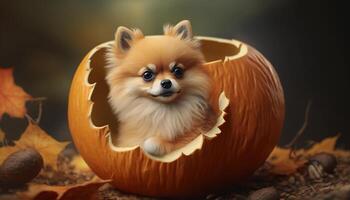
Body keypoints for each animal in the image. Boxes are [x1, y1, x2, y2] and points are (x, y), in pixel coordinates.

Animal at [104, 19, 213, 156]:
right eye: (147, 75)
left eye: (178, 71)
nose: (166, 82)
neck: (162, 111)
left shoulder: (196, 133)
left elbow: (153, 143)